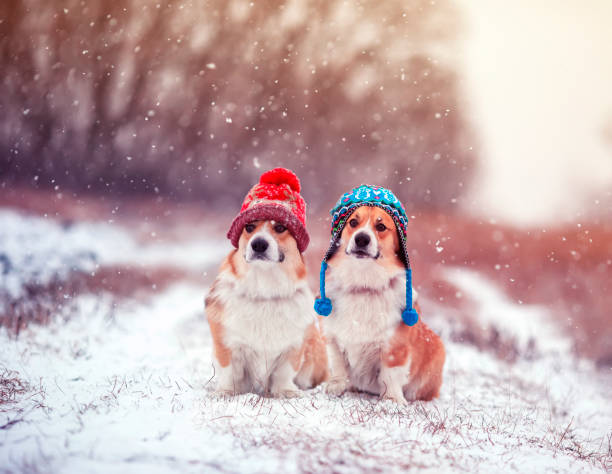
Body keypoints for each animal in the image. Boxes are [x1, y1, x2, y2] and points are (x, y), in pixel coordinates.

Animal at [320, 206, 444, 402]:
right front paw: (336, 386)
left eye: (381, 226)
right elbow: (338, 363)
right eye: (353, 222)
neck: (364, 285)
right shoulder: (332, 337)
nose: (361, 238)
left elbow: (390, 374)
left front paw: (392, 399)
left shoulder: (394, 346)